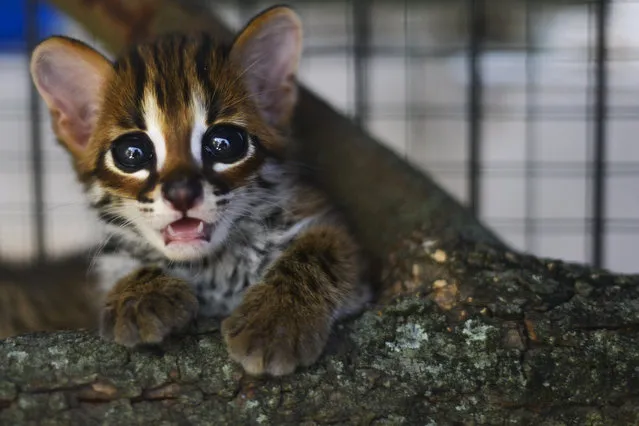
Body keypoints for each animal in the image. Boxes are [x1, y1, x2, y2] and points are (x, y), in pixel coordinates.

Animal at [28, 5, 370, 376]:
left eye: (224, 144)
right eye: (132, 153)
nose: (181, 194)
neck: (212, 266)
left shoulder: (320, 217)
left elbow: (318, 250)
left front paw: (276, 320)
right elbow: (122, 259)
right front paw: (139, 294)